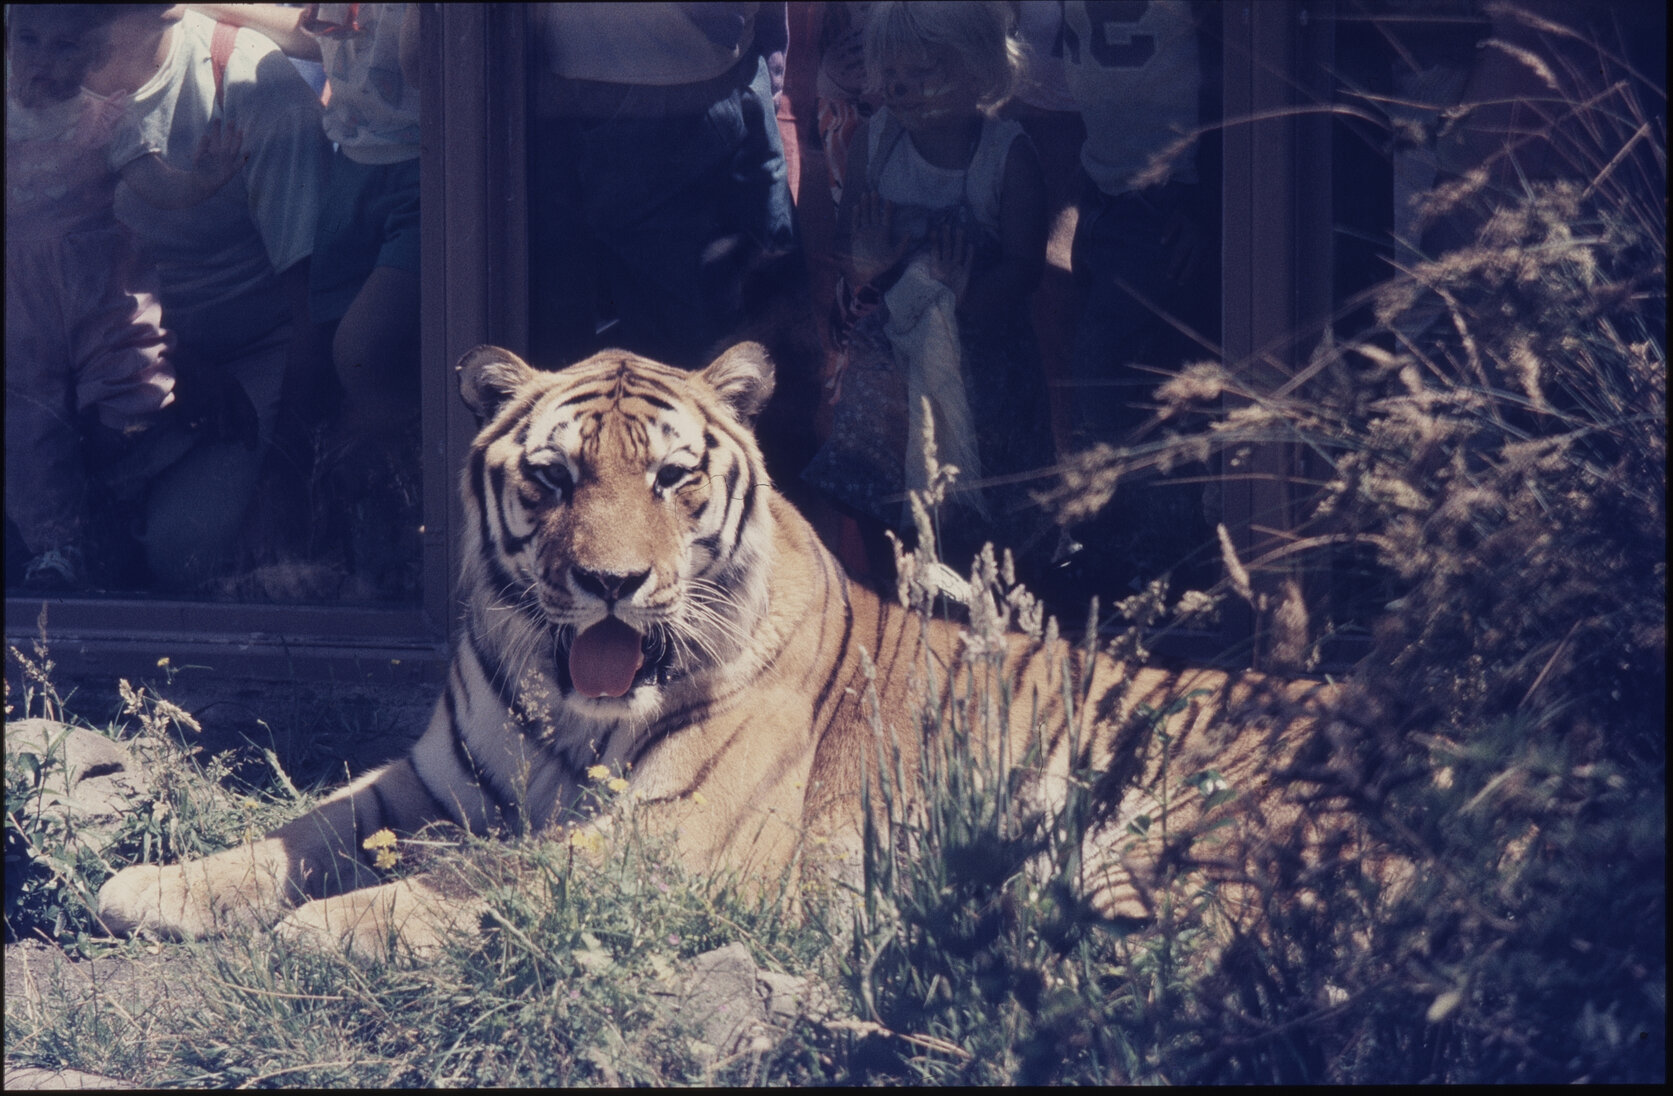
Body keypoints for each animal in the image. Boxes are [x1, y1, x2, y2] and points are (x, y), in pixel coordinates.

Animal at [96, 342, 1335, 956]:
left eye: (672, 477)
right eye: (552, 477)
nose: (610, 583)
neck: (573, 710)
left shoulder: (677, 836)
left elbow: (496, 872)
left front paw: (336, 922)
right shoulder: (431, 783)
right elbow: (302, 830)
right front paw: (157, 886)